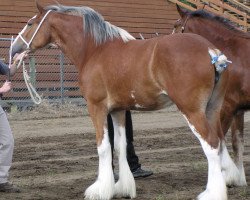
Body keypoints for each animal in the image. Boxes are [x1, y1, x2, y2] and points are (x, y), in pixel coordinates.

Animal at [10, 1, 231, 200]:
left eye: (30, 23)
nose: (14, 48)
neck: (95, 50)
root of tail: (212, 52)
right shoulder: (118, 110)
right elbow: (120, 146)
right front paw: (122, 188)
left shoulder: (97, 108)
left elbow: (103, 147)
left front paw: (100, 190)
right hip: (212, 109)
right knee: (220, 140)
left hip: (192, 111)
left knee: (211, 144)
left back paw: (212, 194)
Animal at [174, 5, 250, 188]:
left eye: (176, 25)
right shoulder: (238, 110)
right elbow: (237, 143)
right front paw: (240, 179)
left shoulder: (225, 108)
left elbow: (218, 141)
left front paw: (226, 177)